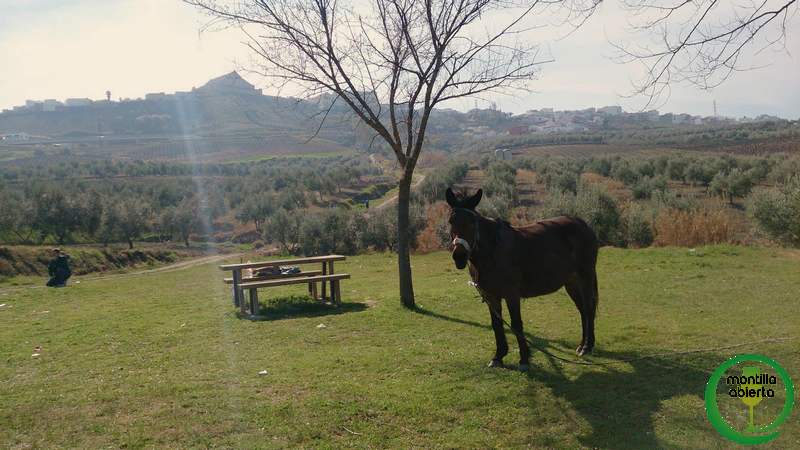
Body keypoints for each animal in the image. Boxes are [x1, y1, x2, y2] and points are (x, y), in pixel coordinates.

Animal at [445, 187, 599, 372]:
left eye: (472, 221)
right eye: (450, 221)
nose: (459, 256)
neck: (493, 251)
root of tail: (584, 225)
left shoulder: (511, 293)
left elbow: (516, 324)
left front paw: (524, 359)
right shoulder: (490, 295)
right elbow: (497, 324)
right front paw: (498, 356)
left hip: (585, 275)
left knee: (588, 308)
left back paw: (587, 346)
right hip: (571, 282)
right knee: (582, 309)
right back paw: (582, 344)